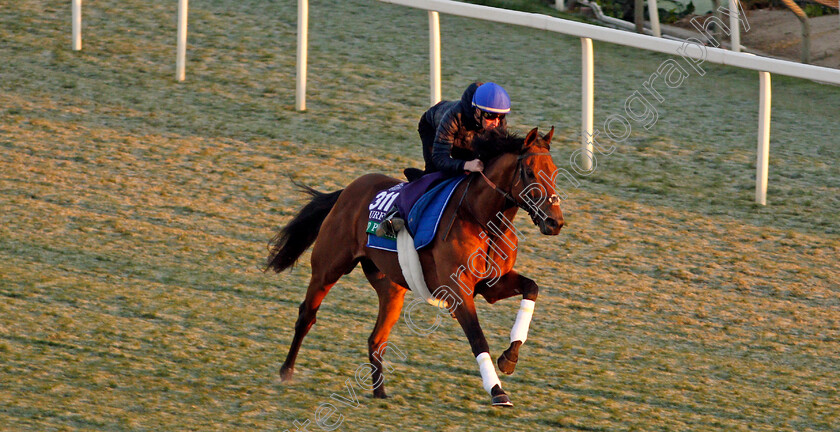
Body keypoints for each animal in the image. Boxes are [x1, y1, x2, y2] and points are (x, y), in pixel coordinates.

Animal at [266, 126, 560, 406]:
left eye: (555, 173)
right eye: (530, 172)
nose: (555, 222)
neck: (482, 219)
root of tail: (347, 191)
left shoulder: (491, 284)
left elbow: (532, 288)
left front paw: (510, 356)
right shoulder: (457, 288)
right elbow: (477, 337)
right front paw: (498, 391)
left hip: (390, 287)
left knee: (376, 339)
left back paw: (379, 392)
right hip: (328, 267)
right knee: (307, 315)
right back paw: (286, 371)